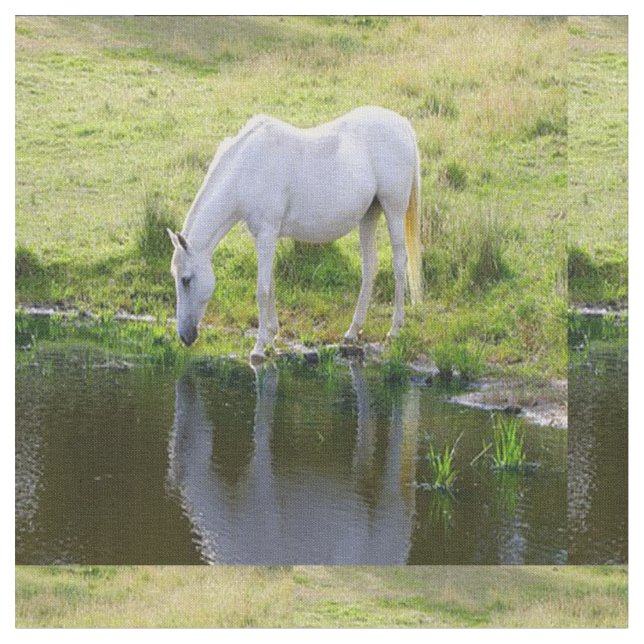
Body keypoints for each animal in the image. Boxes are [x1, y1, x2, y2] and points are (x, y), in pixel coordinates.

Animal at [167, 105, 423, 363]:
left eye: (186, 279)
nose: (185, 336)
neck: (247, 169)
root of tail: (401, 124)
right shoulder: (263, 237)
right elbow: (270, 285)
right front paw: (271, 335)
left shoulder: (267, 234)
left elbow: (262, 290)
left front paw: (258, 348)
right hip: (369, 215)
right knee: (369, 267)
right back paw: (352, 331)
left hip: (393, 210)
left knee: (399, 264)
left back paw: (394, 330)